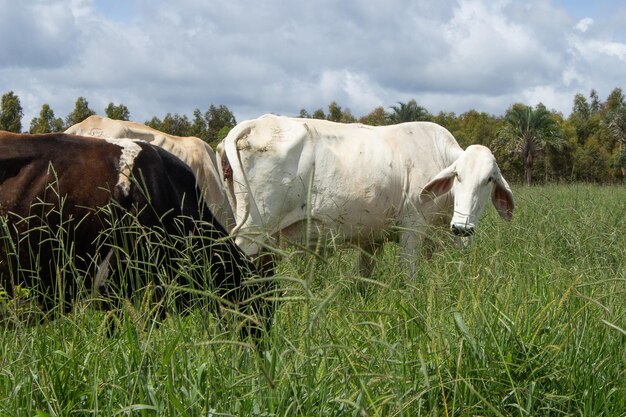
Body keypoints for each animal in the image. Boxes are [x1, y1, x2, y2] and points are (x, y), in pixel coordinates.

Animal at [218, 115, 512, 274]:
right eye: (457, 175)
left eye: (488, 180)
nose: (462, 227)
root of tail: (255, 123)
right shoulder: (412, 229)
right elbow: (411, 276)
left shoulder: (373, 238)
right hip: (253, 230)